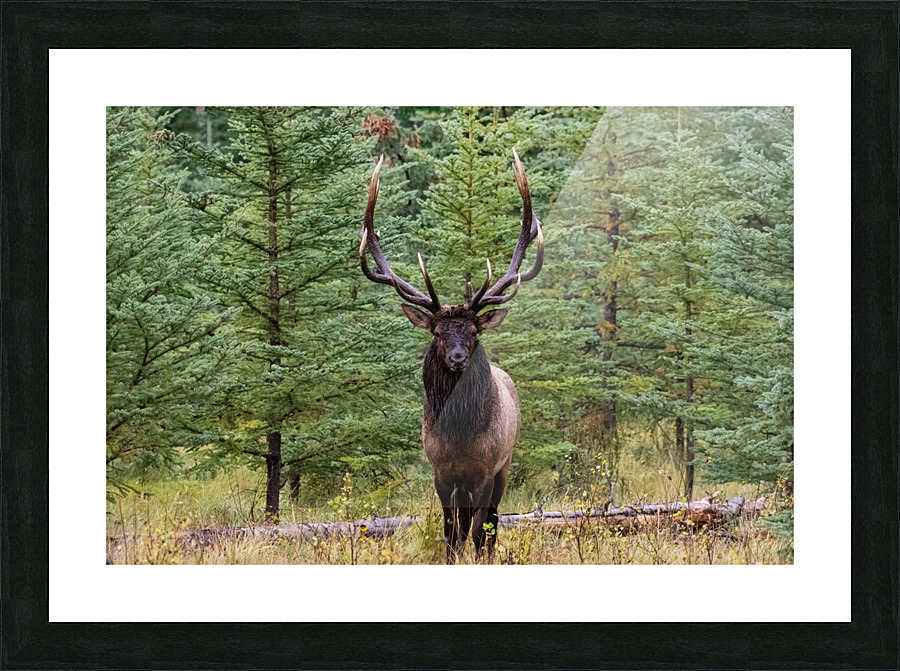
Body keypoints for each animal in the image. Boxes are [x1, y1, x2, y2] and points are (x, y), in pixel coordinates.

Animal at [358, 150, 544, 562]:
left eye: (473, 332)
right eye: (438, 333)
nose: (458, 358)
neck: (459, 438)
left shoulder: (485, 472)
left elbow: (476, 531)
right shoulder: (442, 473)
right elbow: (449, 533)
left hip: (506, 464)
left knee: (491, 524)